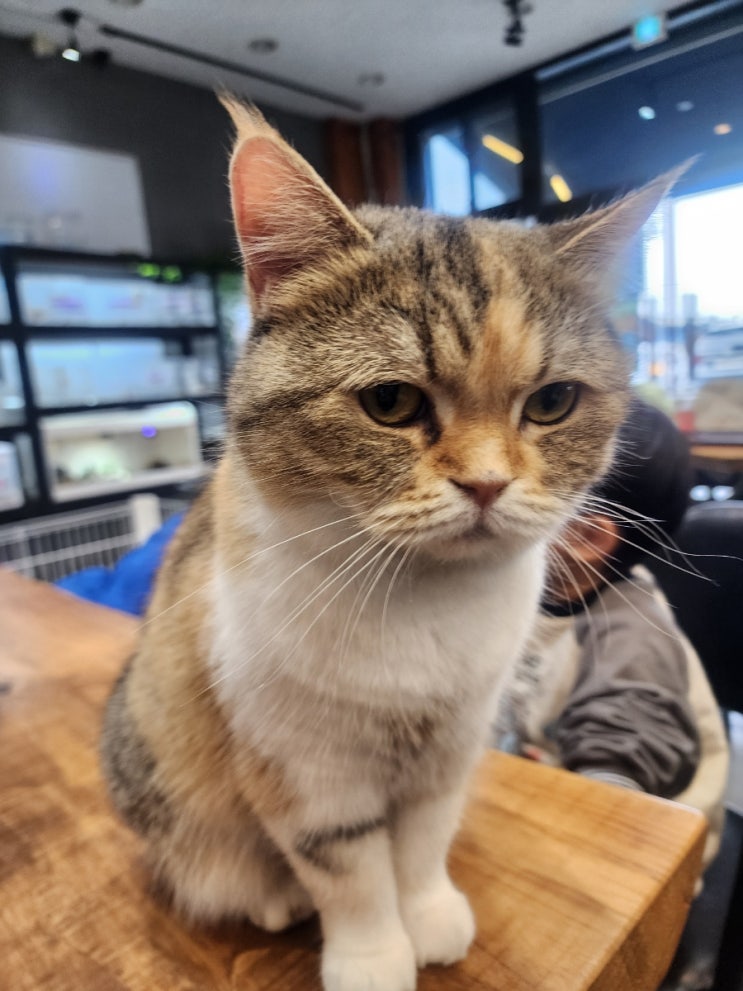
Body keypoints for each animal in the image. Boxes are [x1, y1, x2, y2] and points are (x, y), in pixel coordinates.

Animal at [100, 96, 681, 991]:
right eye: (390, 402)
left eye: (551, 402)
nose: (486, 483)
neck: (423, 602)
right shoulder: (305, 768)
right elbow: (350, 874)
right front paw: (374, 957)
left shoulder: (451, 747)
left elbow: (419, 848)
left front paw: (431, 916)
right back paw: (271, 896)